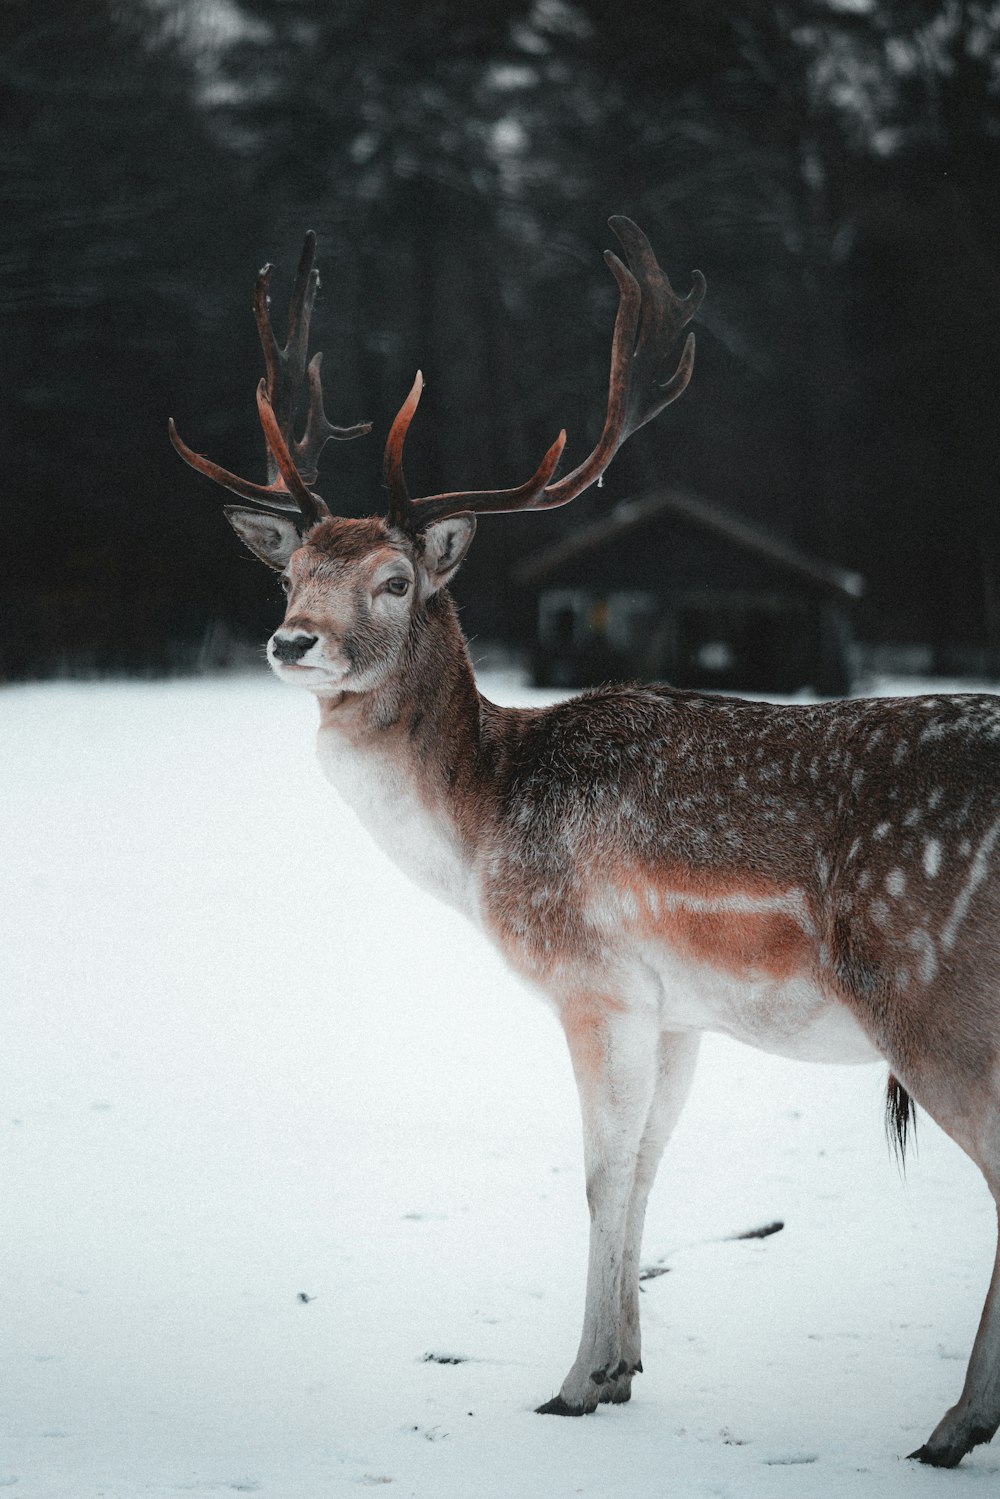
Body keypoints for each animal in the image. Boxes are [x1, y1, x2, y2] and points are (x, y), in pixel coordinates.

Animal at [172, 218, 1000, 1463]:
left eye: (395, 578)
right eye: (292, 569)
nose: (291, 639)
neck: (481, 830)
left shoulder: (589, 976)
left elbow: (599, 1174)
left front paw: (569, 1381)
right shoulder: (678, 1008)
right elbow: (648, 1167)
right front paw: (621, 1367)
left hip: (932, 993)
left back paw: (952, 1423)